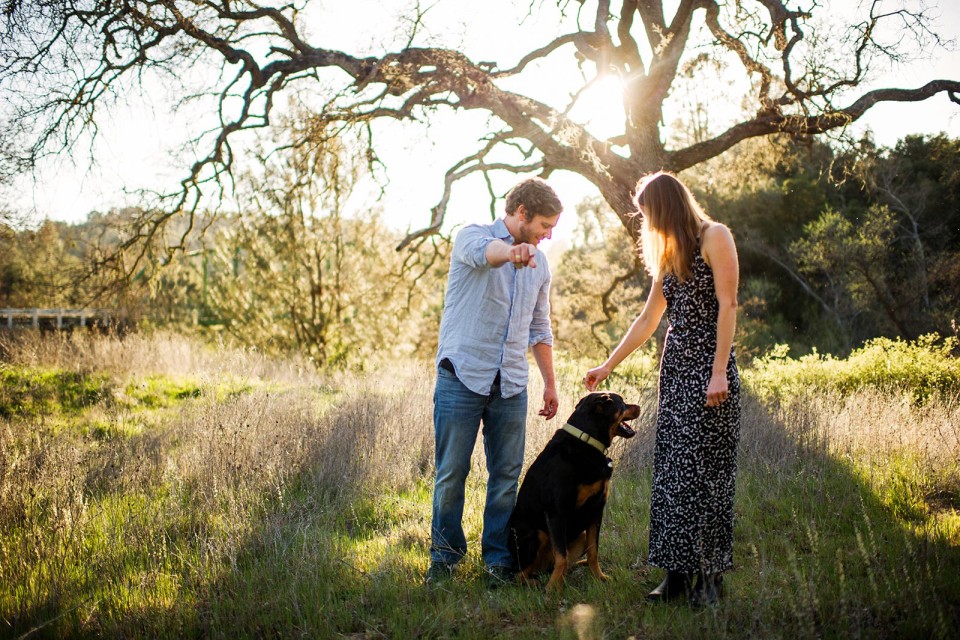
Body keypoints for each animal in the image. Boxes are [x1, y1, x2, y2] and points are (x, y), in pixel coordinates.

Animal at [510, 392, 636, 592]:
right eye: (622, 403)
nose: (637, 407)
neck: (586, 442)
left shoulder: (596, 510)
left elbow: (593, 552)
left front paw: (599, 577)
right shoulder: (557, 512)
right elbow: (562, 556)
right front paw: (553, 589)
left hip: (578, 536)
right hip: (535, 535)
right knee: (519, 574)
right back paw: (537, 583)